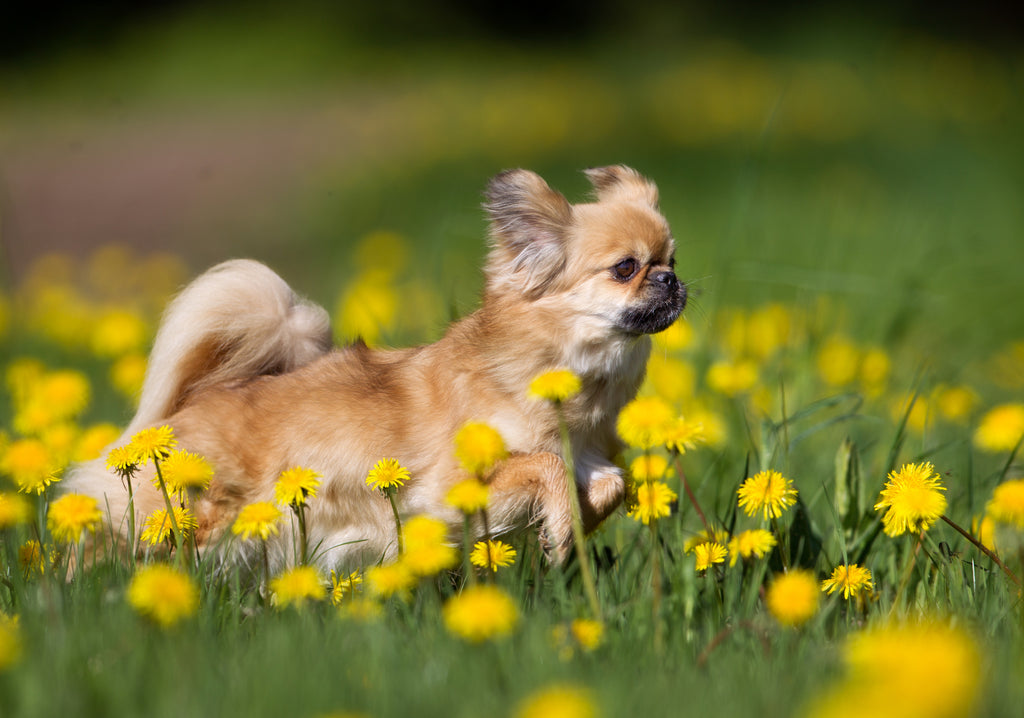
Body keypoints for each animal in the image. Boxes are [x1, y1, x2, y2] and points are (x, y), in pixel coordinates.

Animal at [66, 164, 688, 569]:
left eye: (671, 260)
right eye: (626, 267)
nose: (670, 279)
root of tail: (187, 406)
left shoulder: (590, 461)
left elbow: (609, 483)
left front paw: (566, 531)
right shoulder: (449, 486)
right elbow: (546, 465)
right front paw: (560, 525)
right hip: (177, 517)